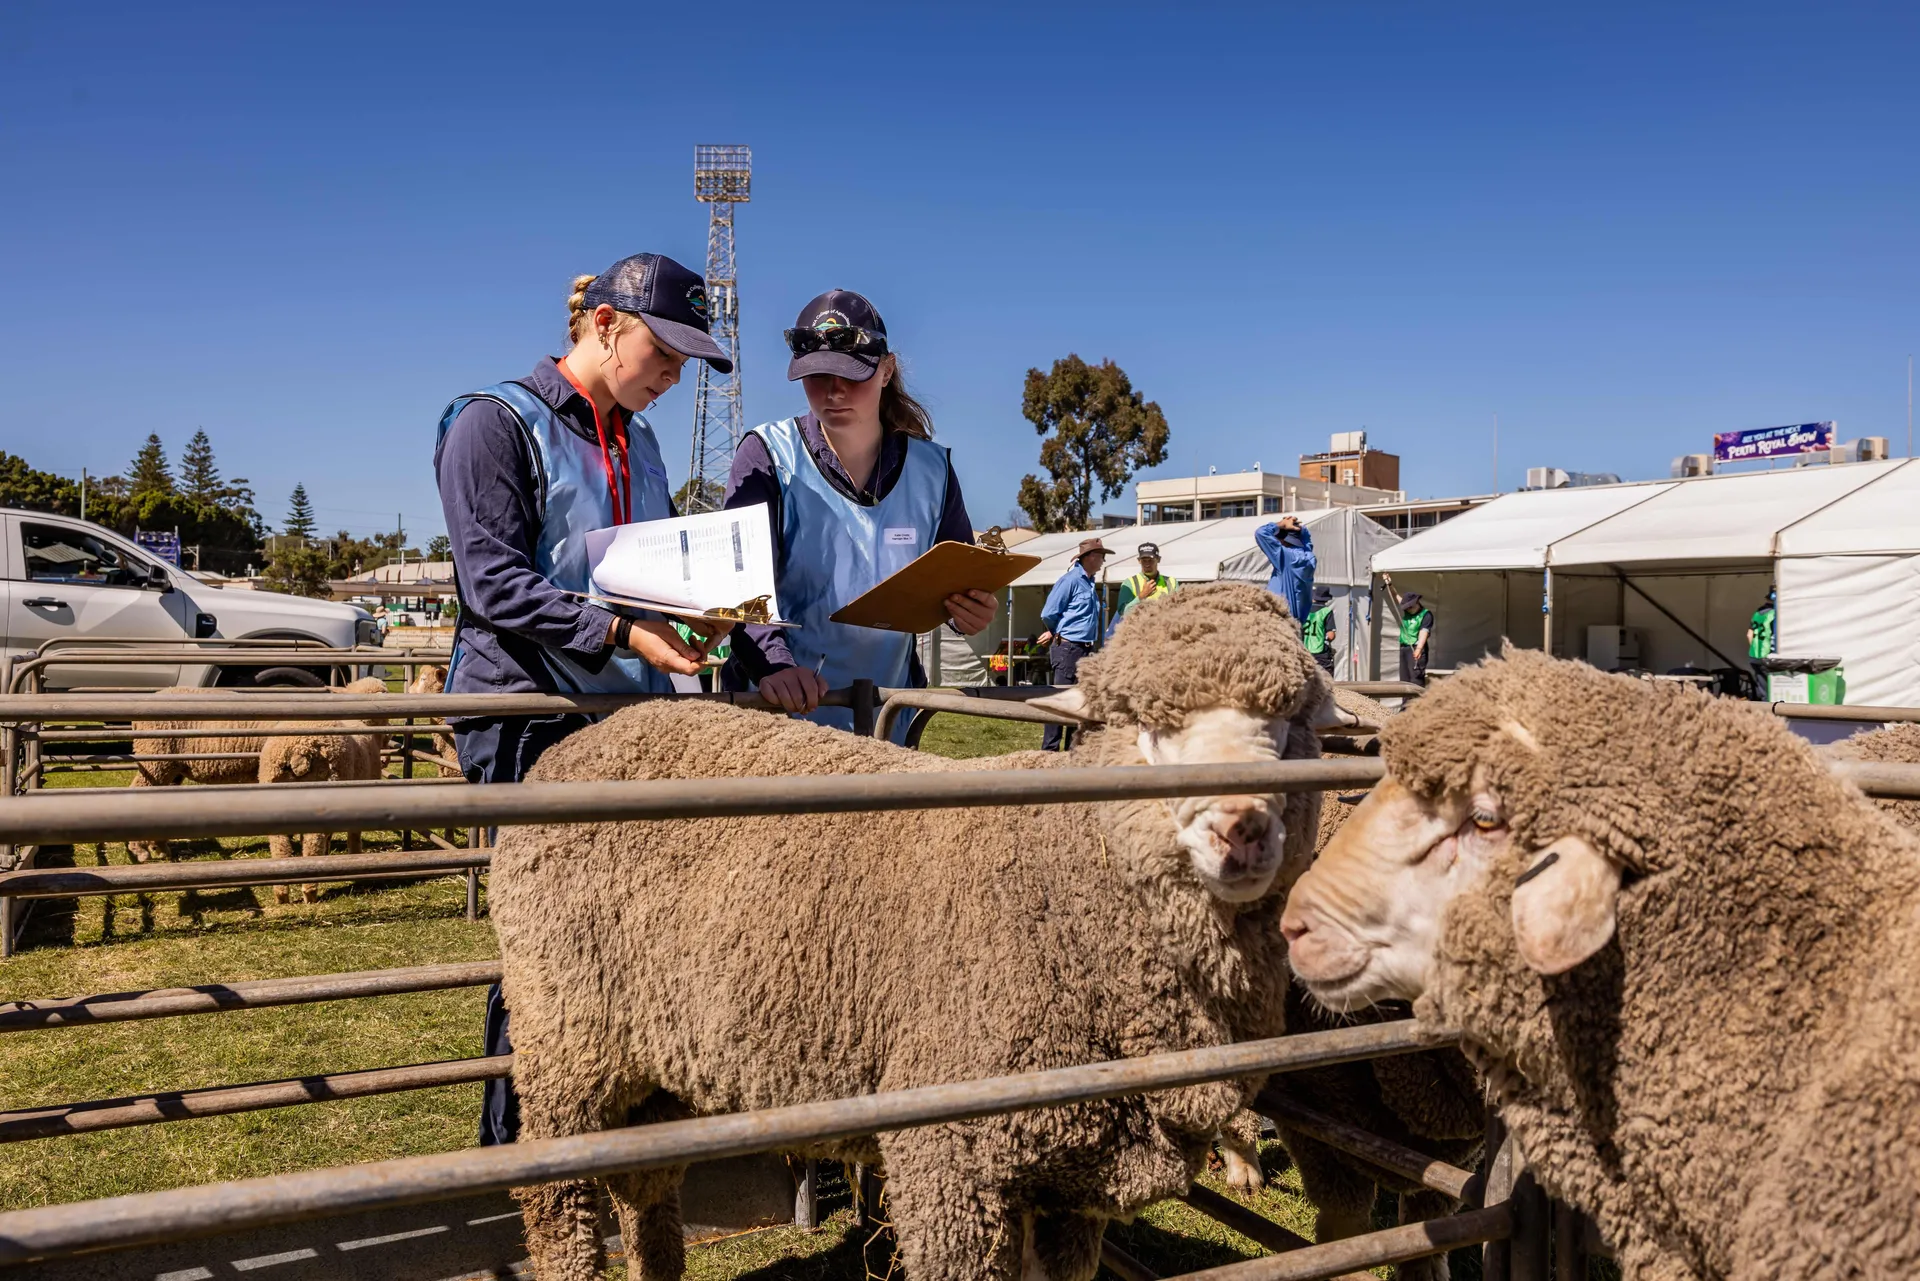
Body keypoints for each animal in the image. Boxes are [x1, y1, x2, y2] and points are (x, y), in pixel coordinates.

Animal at [489, 582, 1336, 1281]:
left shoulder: (1074, 1179)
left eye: (1291, 723)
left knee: (646, 1190)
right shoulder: (948, 1159)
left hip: (657, 1061)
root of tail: (580, 743)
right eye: (1145, 725)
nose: (1242, 828)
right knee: (559, 1206)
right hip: (566, 1039)